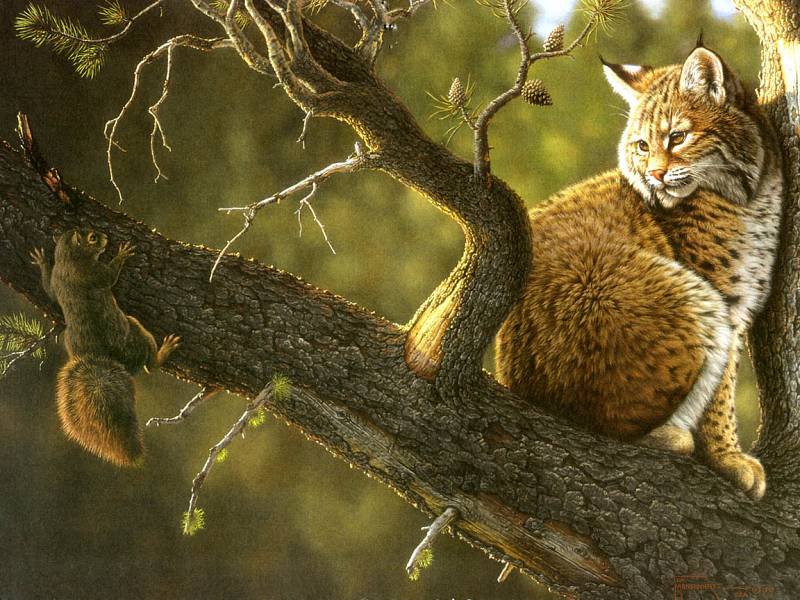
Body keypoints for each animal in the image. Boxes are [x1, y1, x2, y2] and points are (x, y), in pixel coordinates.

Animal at [31, 229, 180, 466]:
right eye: (92, 238)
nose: (106, 237)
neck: (69, 259)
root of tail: (99, 355)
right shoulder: (95, 273)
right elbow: (110, 276)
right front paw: (122, 254)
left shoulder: (55, 279)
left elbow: (49, 292)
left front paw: (42, 261)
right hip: (136, 329)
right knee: (150, 364)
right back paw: (164, 350)